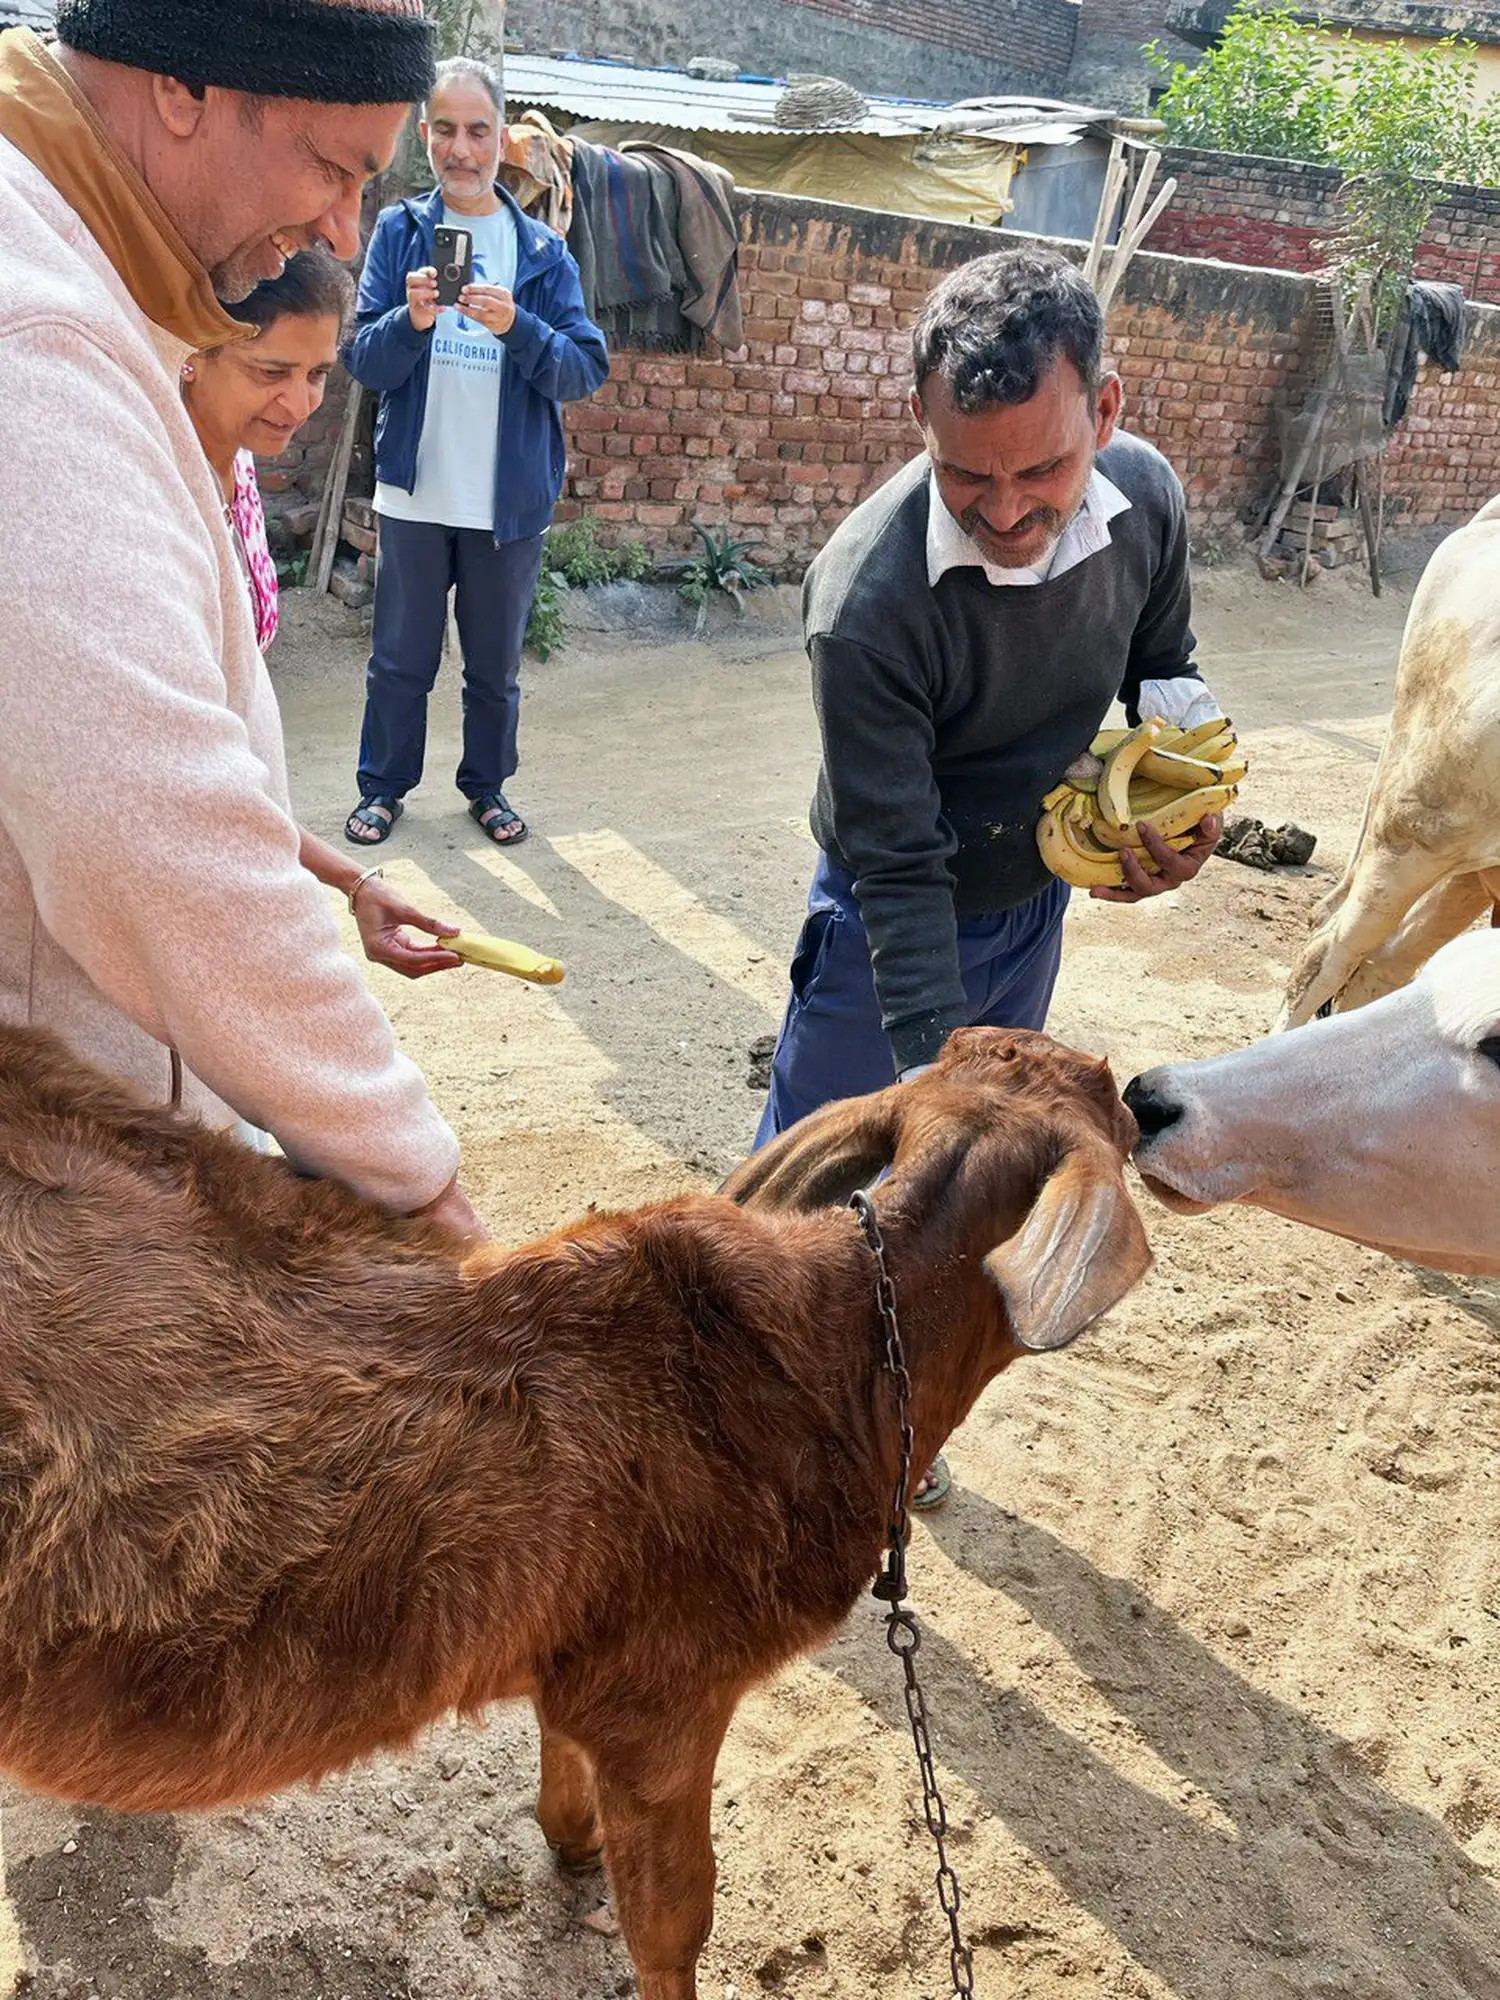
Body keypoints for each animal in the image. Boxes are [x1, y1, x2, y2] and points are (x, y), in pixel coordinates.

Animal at [0, 1024, 1152, 1992]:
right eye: (1119, 1111)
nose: (1149, 1094)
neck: (847, 1354)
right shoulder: (668, 1691)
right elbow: (676, 1915)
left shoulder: (582, 1659)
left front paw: (568, 1836)